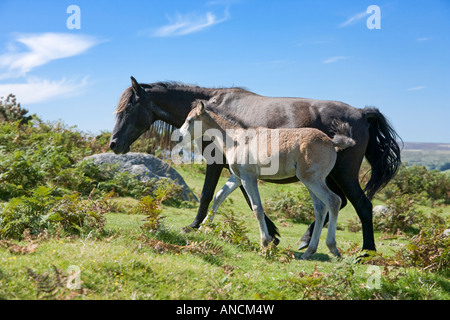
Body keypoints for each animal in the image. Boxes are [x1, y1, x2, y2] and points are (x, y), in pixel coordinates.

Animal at [110, 76, 400, 251]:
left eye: (128, 109)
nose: (114, 144)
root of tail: (362, 113)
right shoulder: (236, 170)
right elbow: (231, 197)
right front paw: (271, 234)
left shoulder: (219, 164)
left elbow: (209, 195)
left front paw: (194, 226)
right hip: (327, 176)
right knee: (337, 203)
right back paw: (309, 239)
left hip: (343, 174)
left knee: (360, 204)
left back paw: (366, 251)